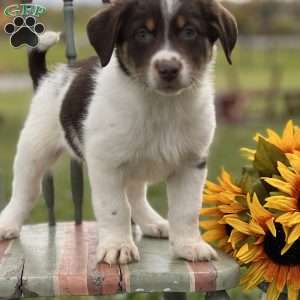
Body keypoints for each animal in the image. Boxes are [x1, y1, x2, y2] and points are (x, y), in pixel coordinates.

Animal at [0, 0, 237, 264]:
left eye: (189, 32)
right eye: (142, 34)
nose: (168, 69)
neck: (159, 105)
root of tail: (48, 78)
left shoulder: (191, 163)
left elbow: (186, 209)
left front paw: (189, 246)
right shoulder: (107, 165)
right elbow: (115, 208)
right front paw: (117, 246)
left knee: (136, 195)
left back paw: (152, 223)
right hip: (34, 150)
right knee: (25, 190)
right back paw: (8, 223)